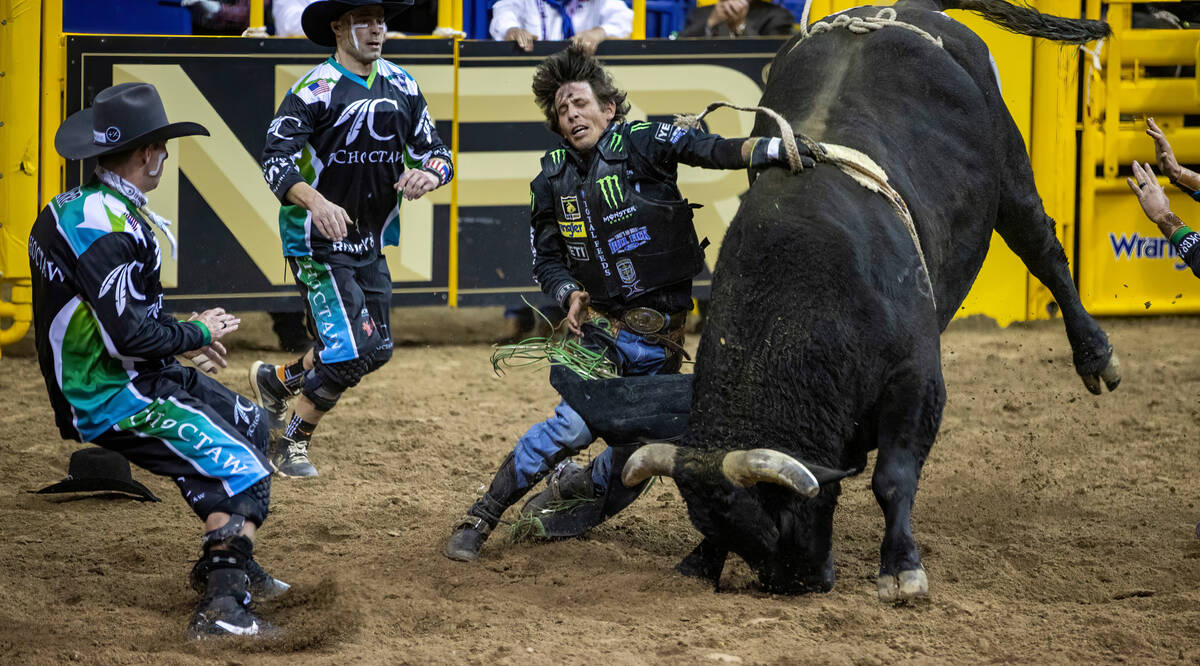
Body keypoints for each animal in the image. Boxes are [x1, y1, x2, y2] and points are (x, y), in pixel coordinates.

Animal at [624, 0, 1118, 600]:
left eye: (779, 517)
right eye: (738, 534)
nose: (799, 583)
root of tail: (912, 9)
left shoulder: (916, 378)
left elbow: (893, 477)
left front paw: (901, 568)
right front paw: (700, 559)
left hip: (1011, 171)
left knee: (1043, 249)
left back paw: (1096, 356)